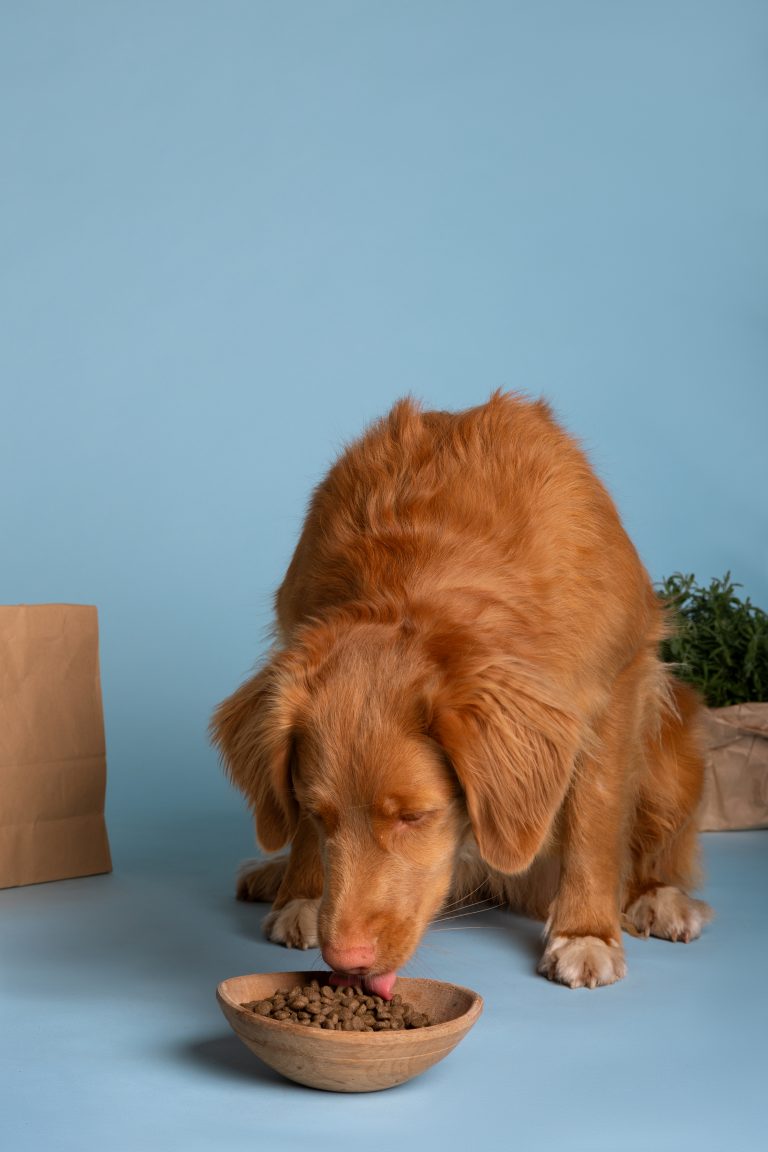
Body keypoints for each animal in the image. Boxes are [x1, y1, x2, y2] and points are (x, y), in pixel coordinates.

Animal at [211, 391, 713, 995]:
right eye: (315, 812)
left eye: (414, 817)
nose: (346, 959)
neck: (416, 567)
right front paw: (303, 892)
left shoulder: (617, 681)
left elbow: (595, 820)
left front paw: (585, 931)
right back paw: (272, 873)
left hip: (673, 753)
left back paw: (657, 899)